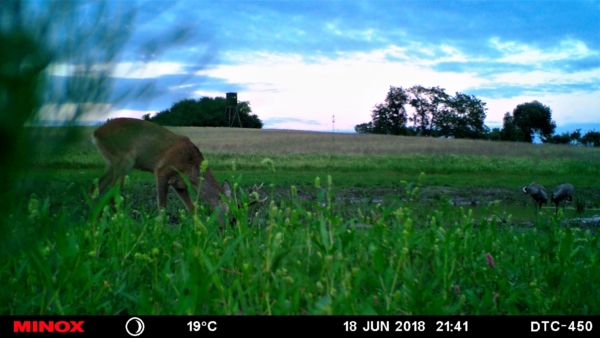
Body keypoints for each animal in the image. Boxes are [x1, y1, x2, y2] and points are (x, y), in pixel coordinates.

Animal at [89, 117, 268, 226]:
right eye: (232, 217)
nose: (227, 229)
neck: (191, 166)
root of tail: (96, 133)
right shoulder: (162, 171)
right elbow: (162, 206)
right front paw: (160, 230)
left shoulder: (180, 185)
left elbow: (192, 208)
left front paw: (199, 230)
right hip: (124, 161)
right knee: (112, 192)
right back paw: (116, 221)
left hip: (111, 163)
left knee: (96, 187)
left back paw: (95, 218)